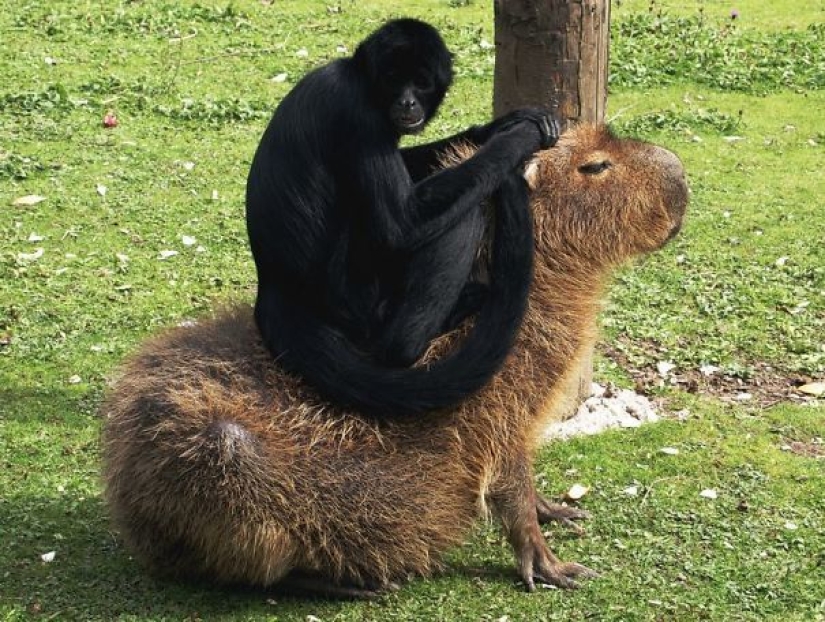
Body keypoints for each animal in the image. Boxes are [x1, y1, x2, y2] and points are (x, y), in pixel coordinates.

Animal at [243, 19, 552, 416]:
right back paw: (413, 340)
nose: (407, 101)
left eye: (420, 82)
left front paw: (494, 128)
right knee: (461, 220)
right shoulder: (359, 114)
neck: (359, 79)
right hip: (359, 295)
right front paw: (521, 136)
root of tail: (274, 284)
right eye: (393, 80)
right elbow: (401, 224)